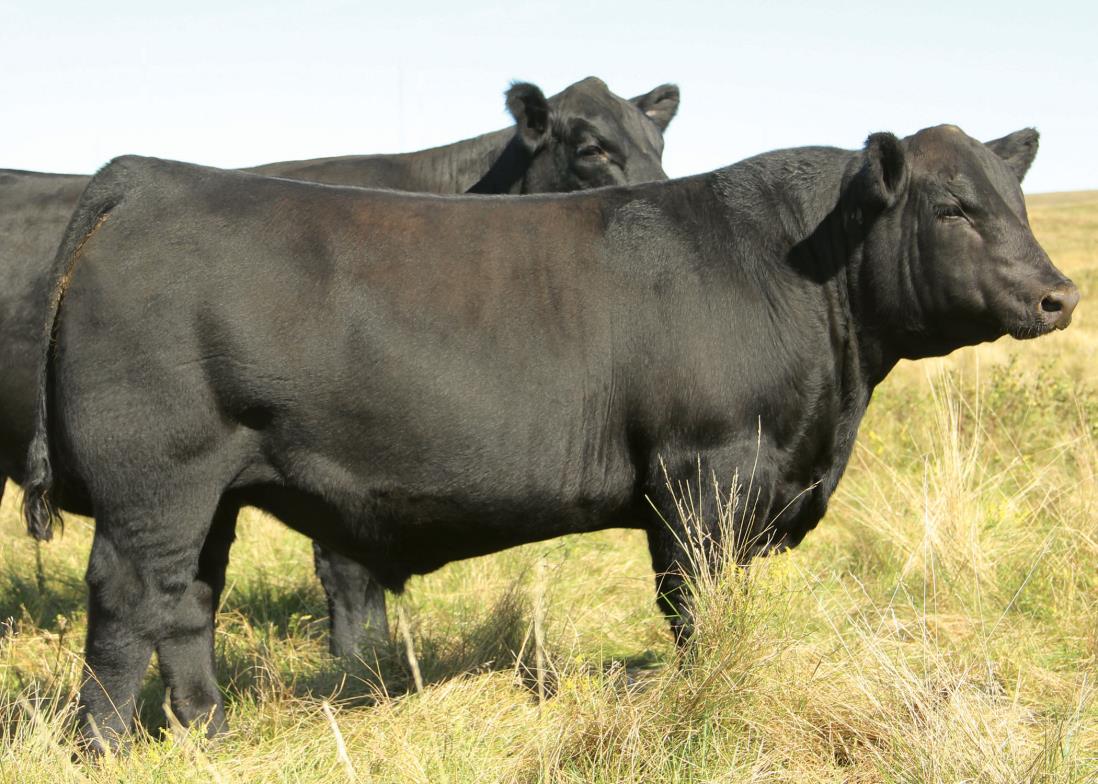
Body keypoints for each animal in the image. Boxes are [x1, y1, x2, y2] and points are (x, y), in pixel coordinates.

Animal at [21, 124, 1077, 751]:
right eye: (953, 208)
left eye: (1017, 202)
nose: (1057, 294)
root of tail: (145, 178)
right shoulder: (704, 474)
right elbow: (695, 608)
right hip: (155, 483)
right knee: (127, 606)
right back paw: (103, 747)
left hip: (210, 493)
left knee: (185, 604)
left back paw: (209, 734)